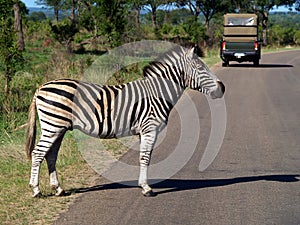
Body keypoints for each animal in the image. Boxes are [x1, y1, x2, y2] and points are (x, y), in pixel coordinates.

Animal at [25, 45, 224, 197]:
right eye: (200, 68)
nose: (222, 88)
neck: (158, 92)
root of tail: (41, 87)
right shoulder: (149, 129)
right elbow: (145, 157)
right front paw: (146, 188)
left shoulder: (144, 131)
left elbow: (145, 157)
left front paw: (143, 184)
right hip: (53, 126)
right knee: (38, 153)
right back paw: (36, 190)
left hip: (59, 128)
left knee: (50, 155)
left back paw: (58, 189)